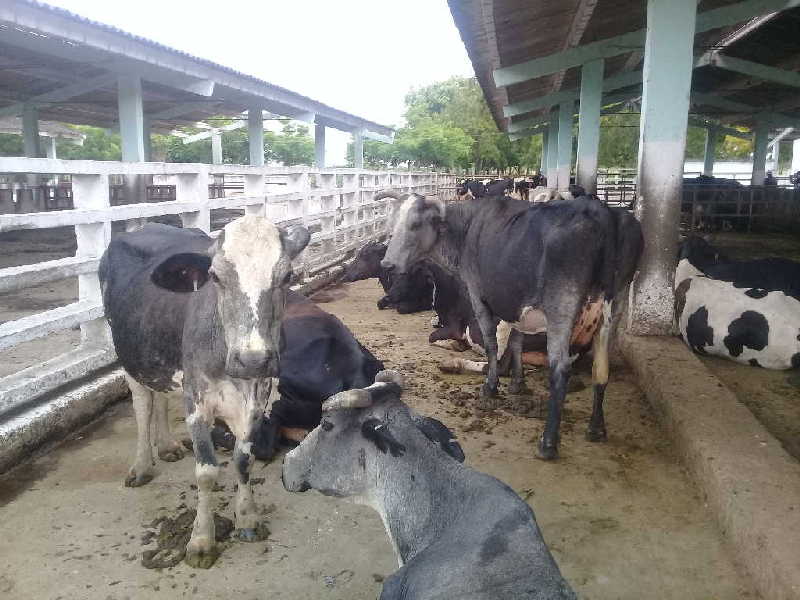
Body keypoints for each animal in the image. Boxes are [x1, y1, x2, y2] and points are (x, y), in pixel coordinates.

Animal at [99, 219, 310, 568]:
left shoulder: (257, 400)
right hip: (129, 357)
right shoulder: (197, 403)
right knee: (143, 404)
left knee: (161, 396)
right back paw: (142, 466)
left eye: (287, 276)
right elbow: (207, 472)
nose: (252, 359)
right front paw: (201, 540)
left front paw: (247, 519)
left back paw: (168, 446)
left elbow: (243, 461)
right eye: (215, 276)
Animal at [376, 190, 644, 458]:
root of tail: (601, 210)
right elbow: (517, 341)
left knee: (560, 369)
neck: (467, 228)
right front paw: (518, 384)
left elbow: (492, 345)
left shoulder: (479, 296)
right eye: (391, 225)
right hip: (614, 307)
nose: (386, 264)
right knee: (601, 368)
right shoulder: (515, 304)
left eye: (415, 224)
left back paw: (548, 442)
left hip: (562, 305)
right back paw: (596, 428)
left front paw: (491, 388)